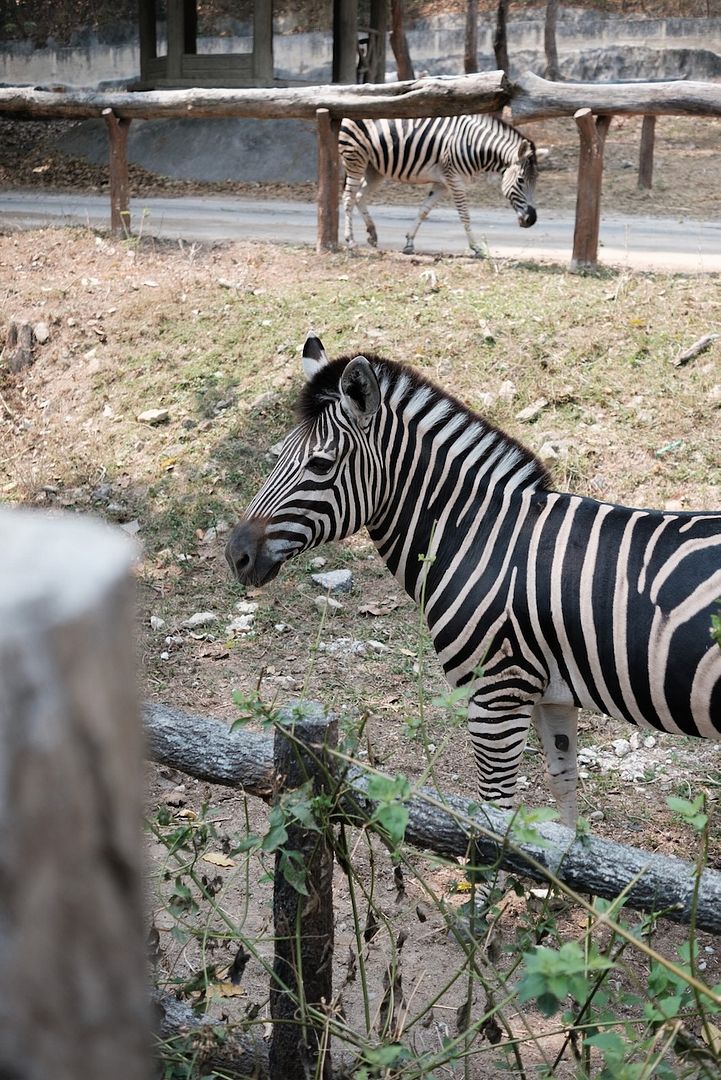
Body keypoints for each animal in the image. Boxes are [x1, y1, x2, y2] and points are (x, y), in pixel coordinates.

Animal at [226, 336, 721, 825]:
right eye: (279, 455)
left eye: (321, 465)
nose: (235, 555)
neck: (479, 537)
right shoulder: (550, 695)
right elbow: (562, 791)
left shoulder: (496, 696)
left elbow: (494, 814)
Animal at [341, 113, 537, 257]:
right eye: (520, 180)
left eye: (536, 181)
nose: (532, 220)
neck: (473, 146)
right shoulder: (455, 180)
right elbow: (465, 215)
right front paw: (476, 247)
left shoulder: (442, 183)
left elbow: (424, 210)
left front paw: (409, 243)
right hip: (355, 159)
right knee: (348, 197)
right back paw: (350, 241)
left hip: (374, 169)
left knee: (359, 196)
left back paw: (372, 234)